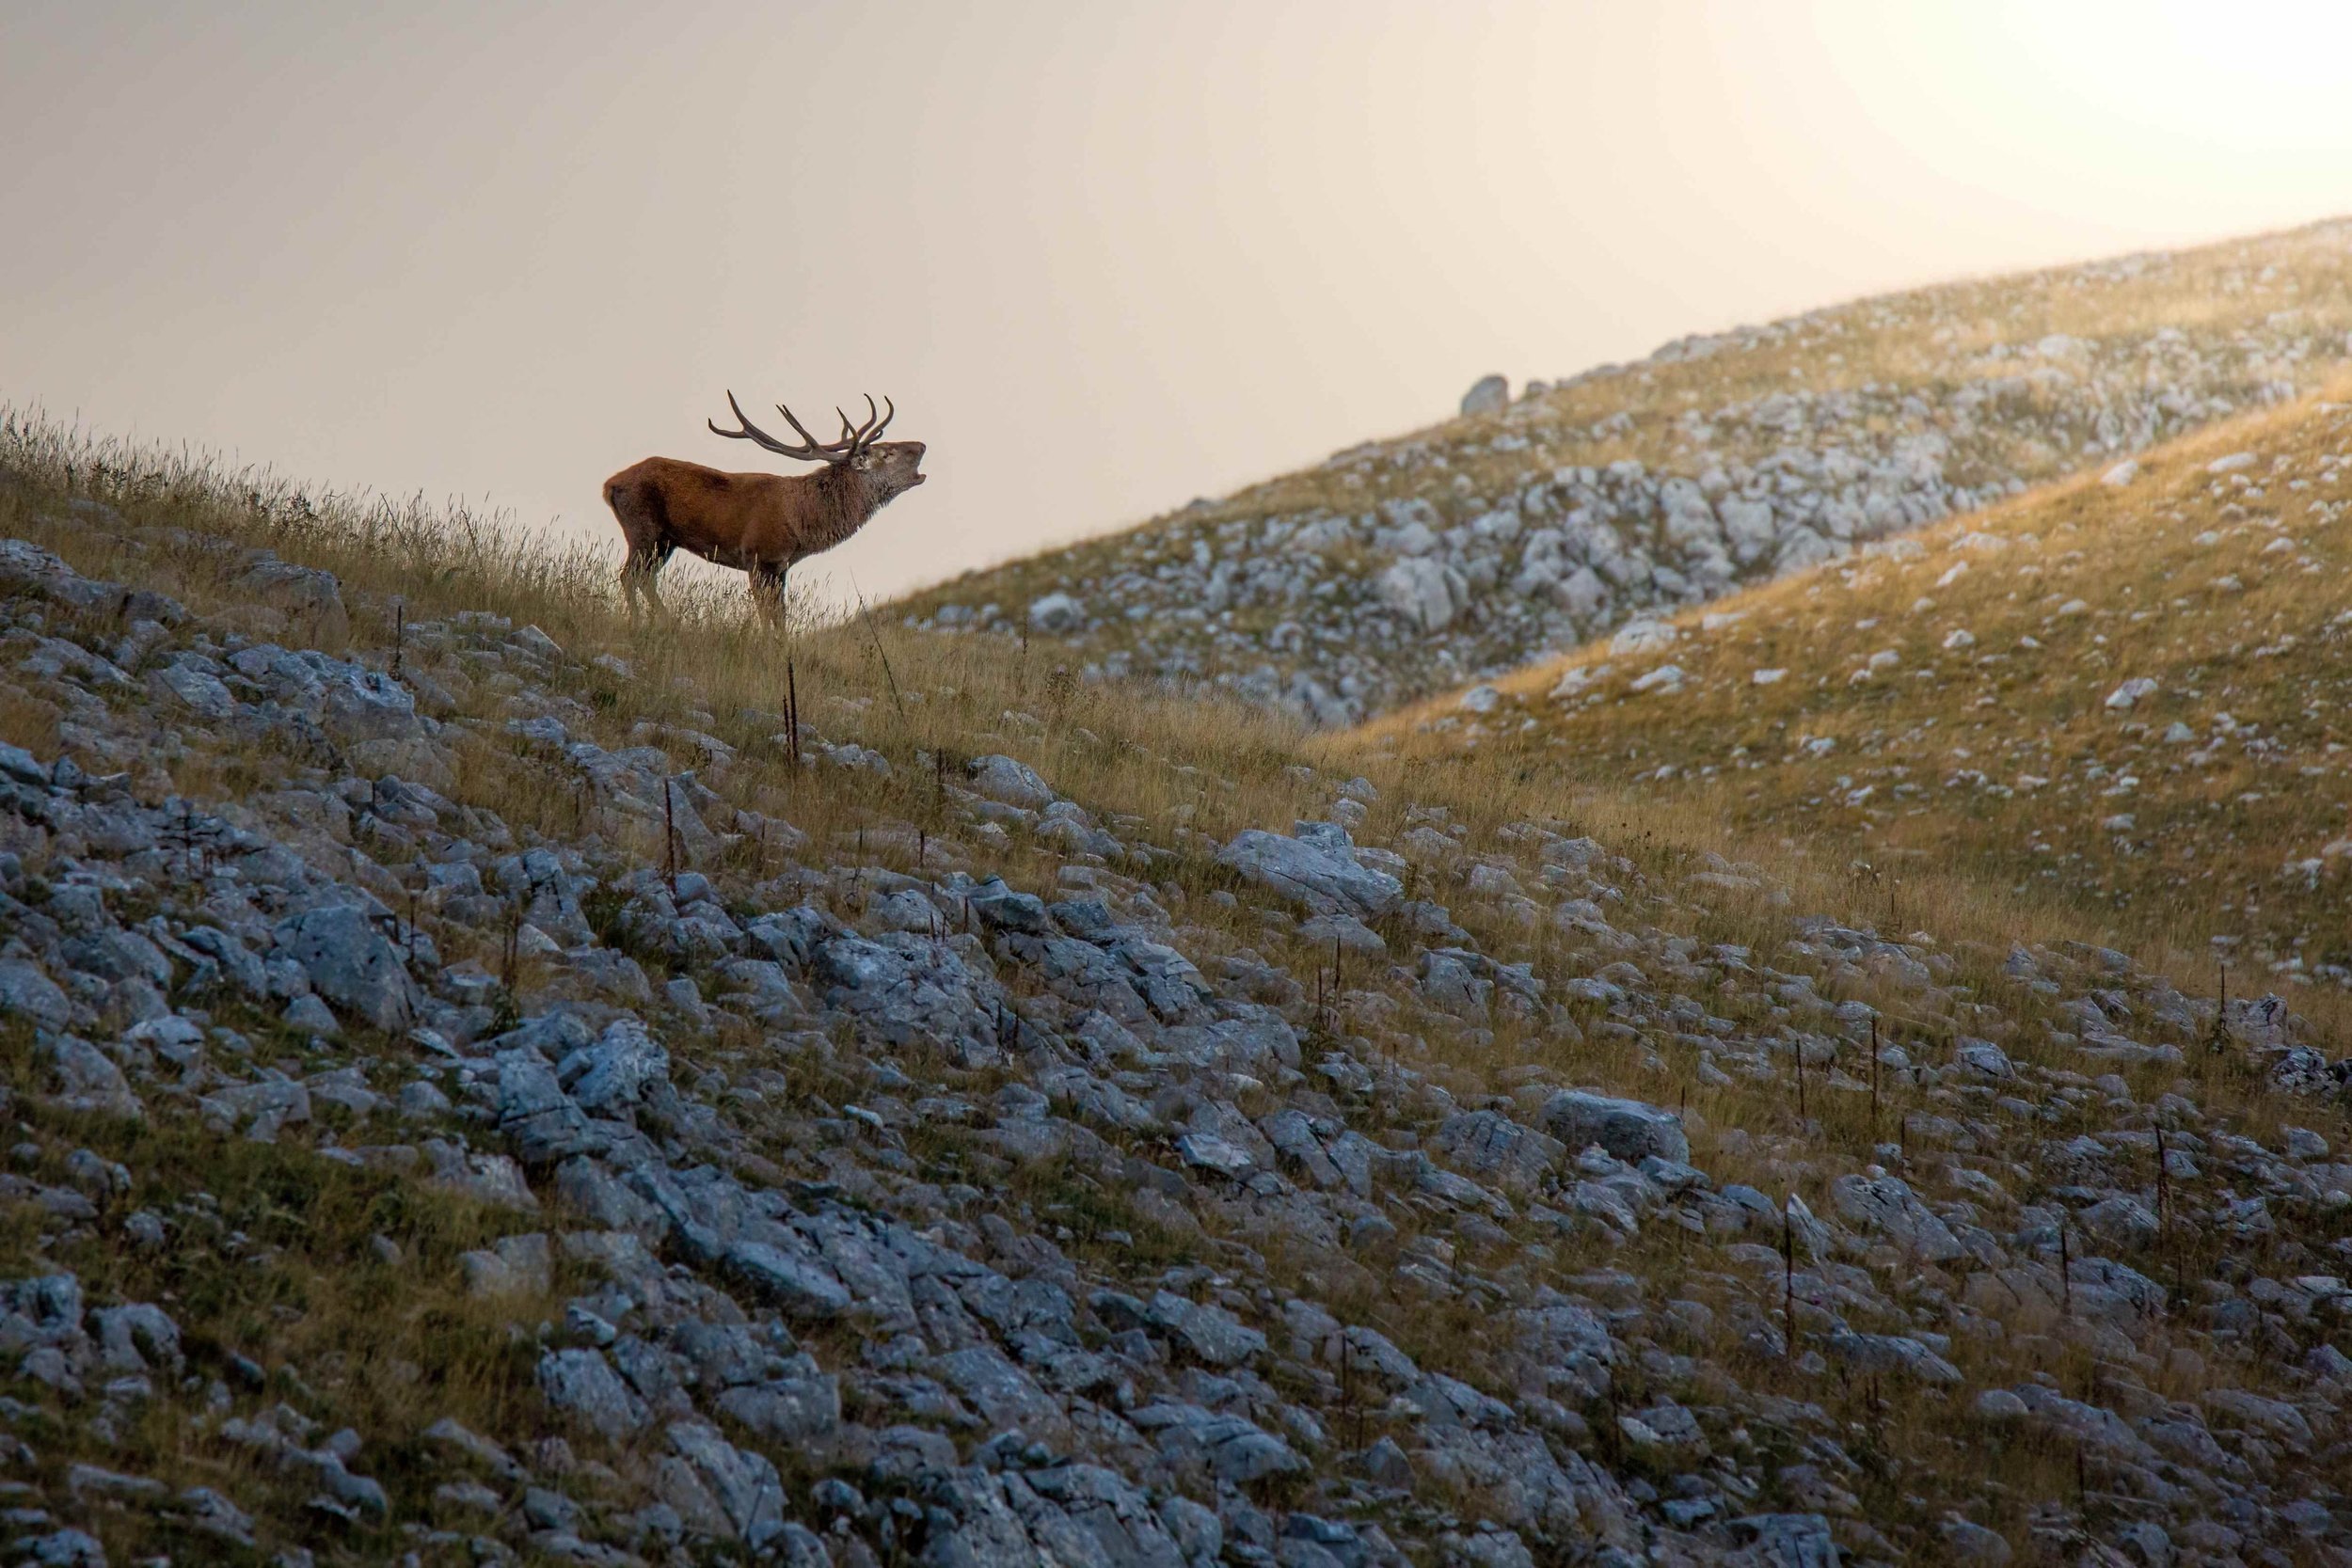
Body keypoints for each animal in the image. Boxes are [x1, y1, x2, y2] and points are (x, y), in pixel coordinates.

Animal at [603, 390, 926, 621]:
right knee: (629, 576)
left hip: (665, 541)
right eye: (887, 453)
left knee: (644, 578)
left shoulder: (780, 567)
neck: (800, 523)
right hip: (643, 529)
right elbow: (765, 613)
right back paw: (643, 623)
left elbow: (780, 615)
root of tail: (609, 485)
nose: (922, 445)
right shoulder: (757, 557)